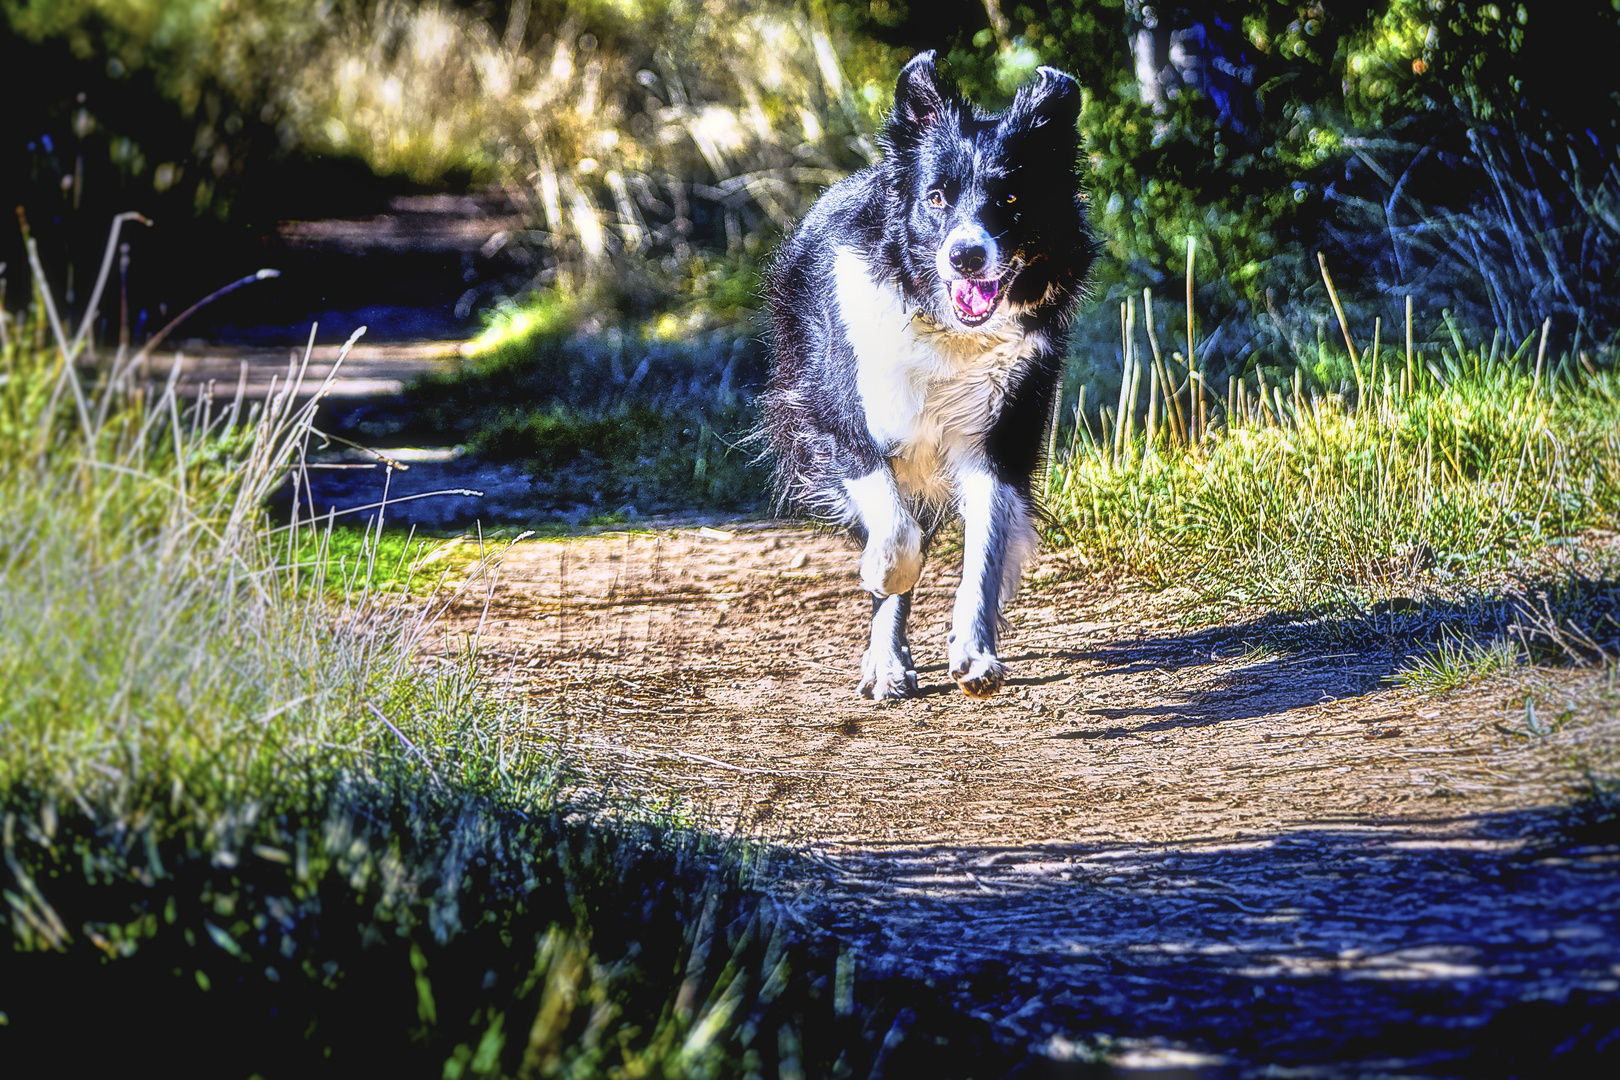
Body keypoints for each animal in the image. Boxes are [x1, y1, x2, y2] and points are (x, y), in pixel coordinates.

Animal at [761, 50, 1095, 702]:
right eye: (936, 197)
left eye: (1010, 197)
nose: (966, 256)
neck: (946, 329)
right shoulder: (840, 420)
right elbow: (898, 536)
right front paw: (882, 575)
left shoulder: (1001, 431)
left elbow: (986, 545)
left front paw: (975, 652)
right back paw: (886, 662)